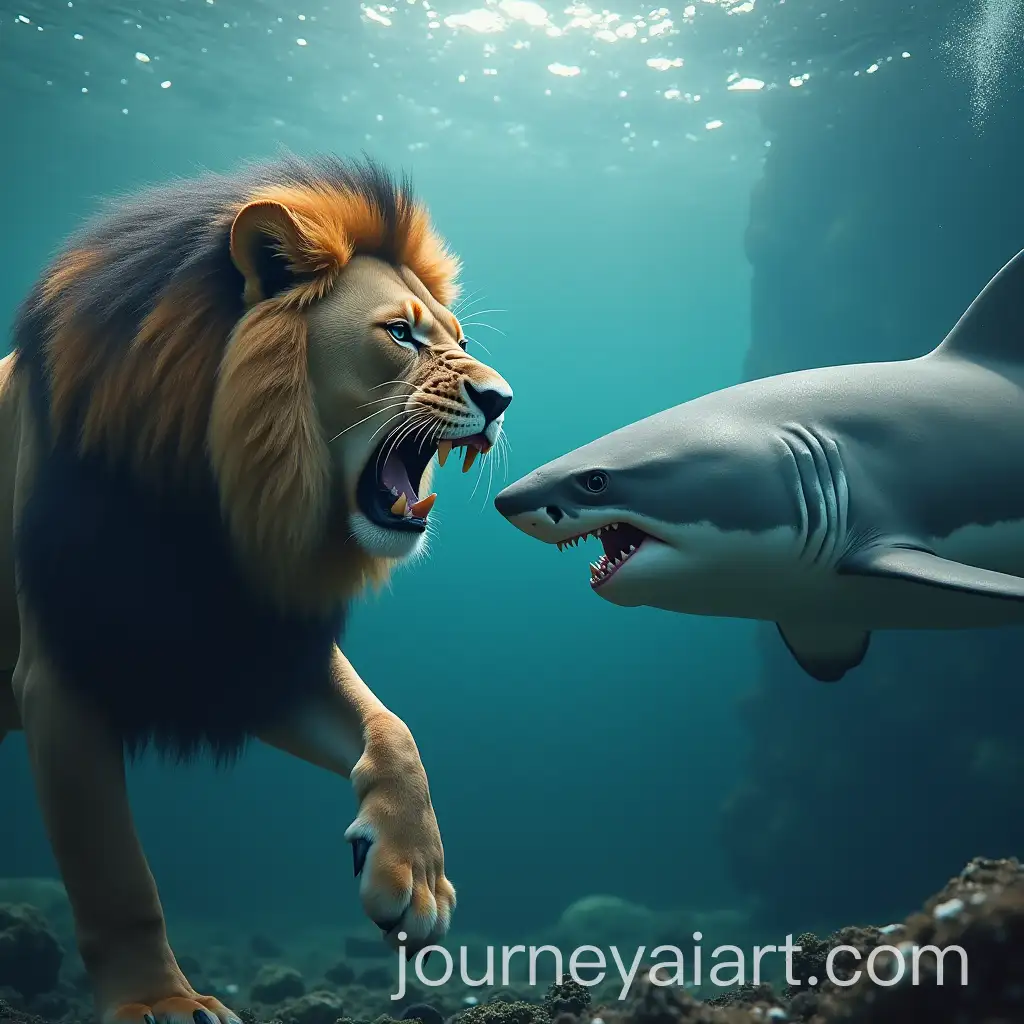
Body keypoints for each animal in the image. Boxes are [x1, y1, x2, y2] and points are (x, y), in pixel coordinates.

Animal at [0, 154, 512, 1024]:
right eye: (401, 334)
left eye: (461, 340)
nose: (503, 399)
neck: (221, 496)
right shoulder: (62, 670)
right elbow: (114, 872)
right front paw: (161, 1003)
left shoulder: (254, 649)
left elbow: (394, 729)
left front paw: (413, 877)